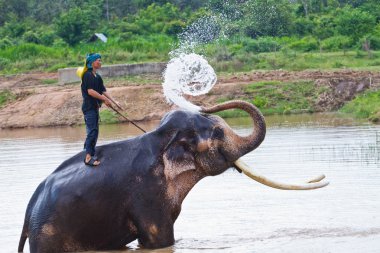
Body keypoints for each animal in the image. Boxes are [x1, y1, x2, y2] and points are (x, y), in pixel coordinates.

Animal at [17, 100, 326, 252]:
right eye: (217, 133)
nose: (204, 105)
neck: (160, 137)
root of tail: (29, 212)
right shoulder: (146, 195)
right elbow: (159, 241)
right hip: (49, 235)